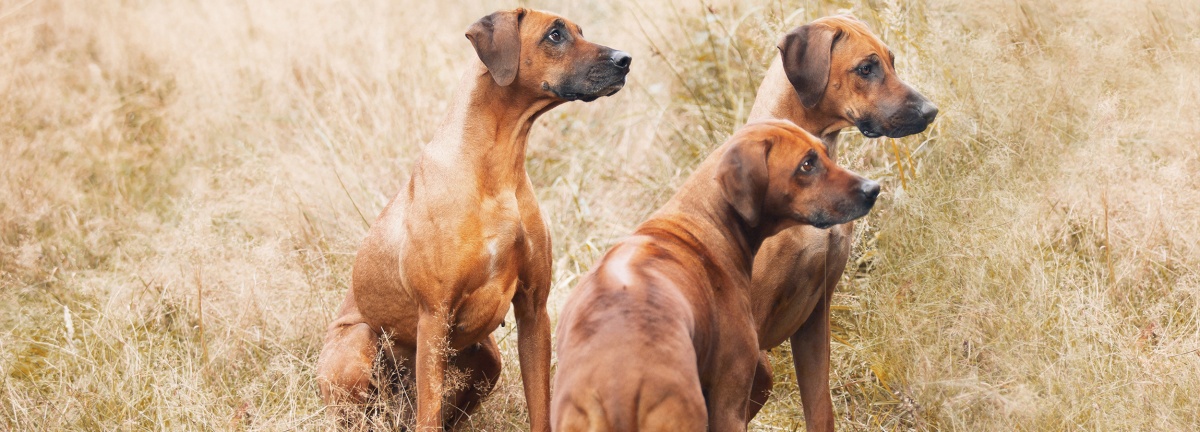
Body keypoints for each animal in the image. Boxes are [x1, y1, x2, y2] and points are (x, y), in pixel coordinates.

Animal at [314, 8, 633, 429]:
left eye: (580, 30)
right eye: (555, 34)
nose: (625, 59)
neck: (497, 169)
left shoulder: (534, 309)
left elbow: (540, 403)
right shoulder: (434, 317)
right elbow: (430, 415)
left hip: (487, 356)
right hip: (359, 343)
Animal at [552, 120, 883, 432]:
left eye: (825, 153)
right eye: (806, 164)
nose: (873, 188)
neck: (705, 219)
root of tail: (618, 386)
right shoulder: (730, 400)